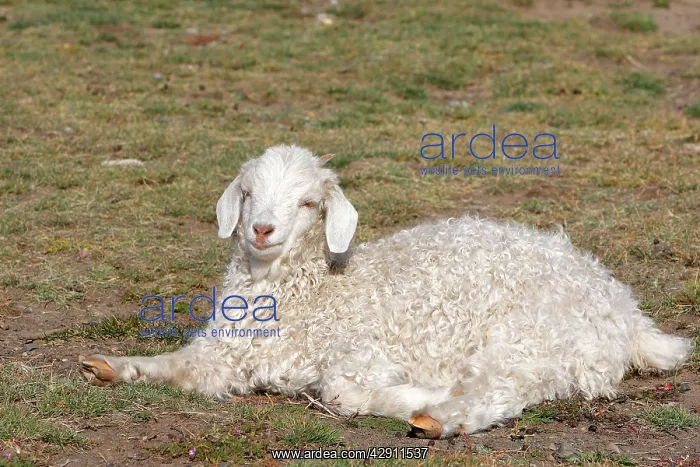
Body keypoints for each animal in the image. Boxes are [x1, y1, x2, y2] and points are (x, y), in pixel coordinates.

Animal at [79, 145, 693, 439]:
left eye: (309, 202)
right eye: (248, 192)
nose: (262, 230)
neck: (317, 291)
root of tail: (624, 308)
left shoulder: (362, 354)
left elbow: (343, 394)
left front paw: (419, 395)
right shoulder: (226, 353)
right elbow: (179, 366)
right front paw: (108, 366)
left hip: (530, 334)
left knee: (507, 390)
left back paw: (439, 418)